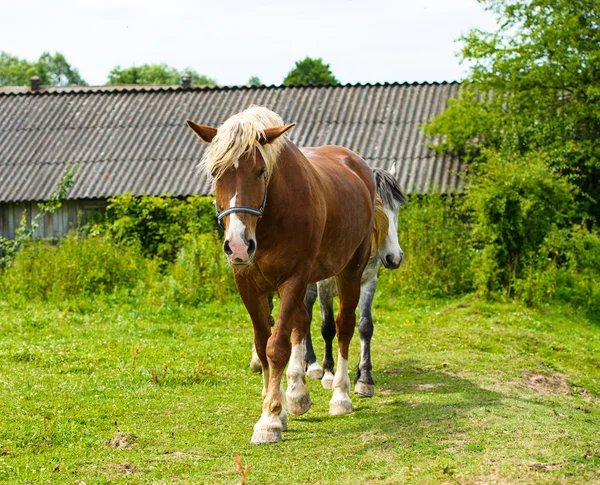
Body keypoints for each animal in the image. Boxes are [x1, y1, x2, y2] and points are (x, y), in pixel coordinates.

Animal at [188, 106, 376, 442]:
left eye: (261, 171)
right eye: (215, 173)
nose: (238, 245)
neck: (271, 219)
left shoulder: (293, 280)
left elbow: (276, 347)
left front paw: (270, 420)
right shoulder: (248, 285)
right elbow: (264, 345)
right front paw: (279, 407)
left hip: (351, 270)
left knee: (344, 327)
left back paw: (341, 396)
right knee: (301, 323)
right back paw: (298, 394)